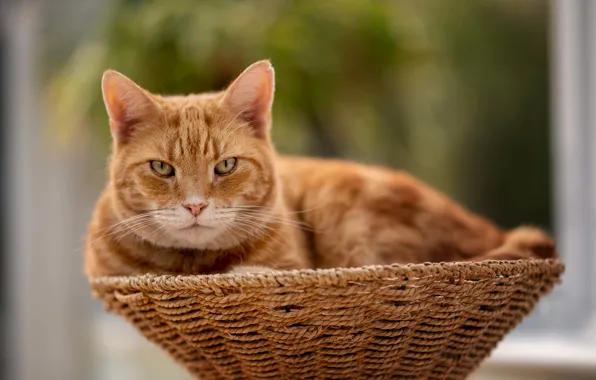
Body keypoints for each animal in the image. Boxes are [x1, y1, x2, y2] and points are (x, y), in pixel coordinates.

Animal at [85, 60, 560, 278]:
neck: (189, 269)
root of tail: (493, 230)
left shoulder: (293, 266)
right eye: (161, 168)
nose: (196, 207)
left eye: (226, 165)